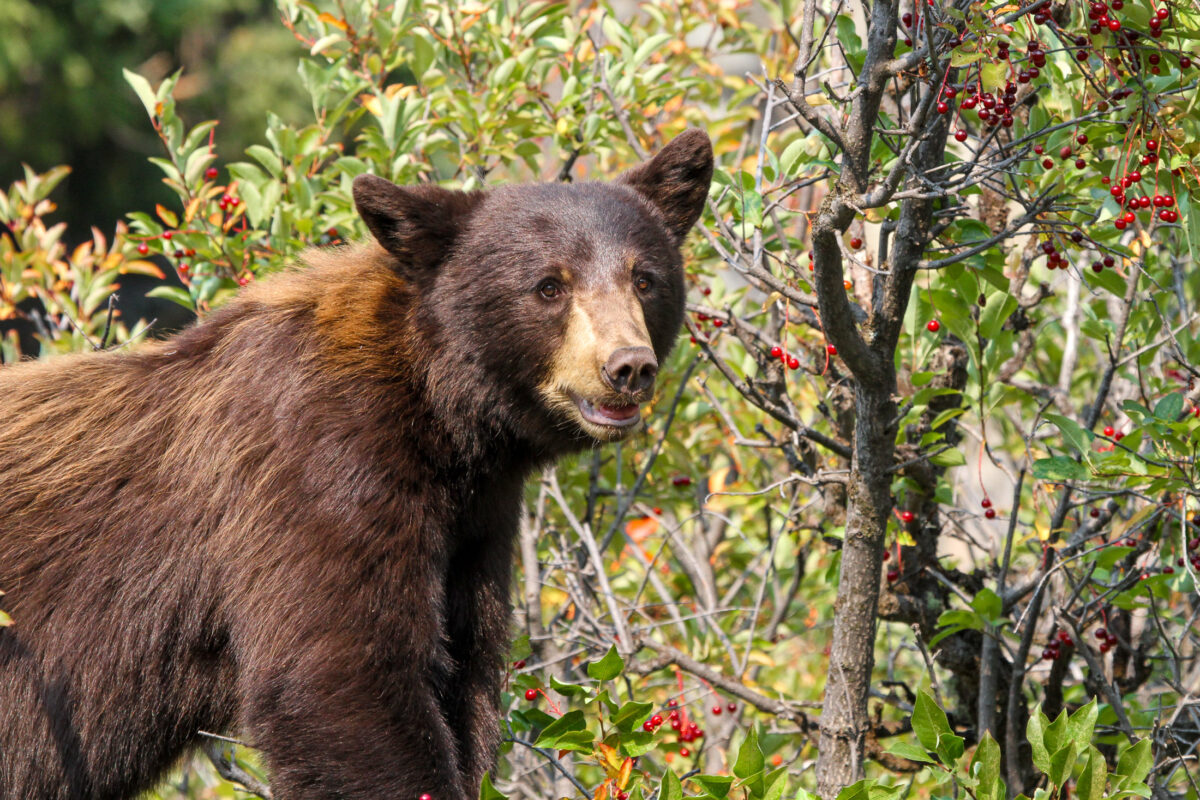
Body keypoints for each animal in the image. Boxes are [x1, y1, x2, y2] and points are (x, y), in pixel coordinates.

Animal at [0, 128, 713, 800]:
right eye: (548, 286)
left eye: (644, 278)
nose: (627, 367)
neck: (438, 410)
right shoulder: (321, 460)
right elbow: (342, 678)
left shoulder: (475, 523)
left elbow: (466, 675)